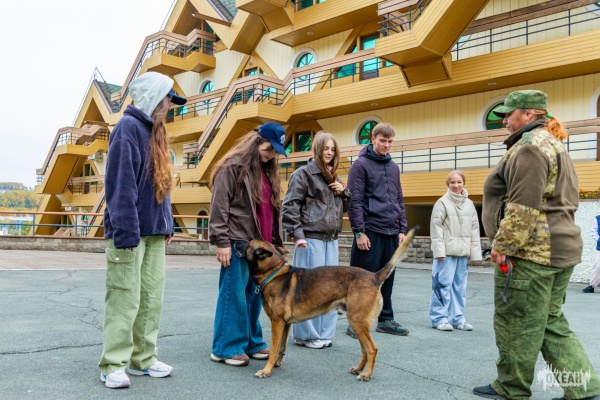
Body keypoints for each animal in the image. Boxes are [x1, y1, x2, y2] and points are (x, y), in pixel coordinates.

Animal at [234, 226, 417, 381]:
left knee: (372, 349)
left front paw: (267, 370)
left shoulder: (277, 323)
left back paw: (366, 374)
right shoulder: (285, 325)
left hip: (357, 322)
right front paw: (277, 364)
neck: (273, 272)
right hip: (358, 325)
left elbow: (273, 349)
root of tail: (374, 276)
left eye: (248, 242)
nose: (234, 241)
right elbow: (281, 348)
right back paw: (359, 369)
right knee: (365, 350)